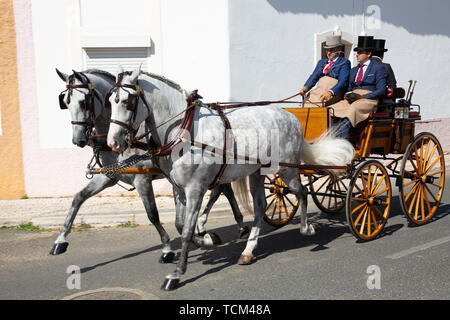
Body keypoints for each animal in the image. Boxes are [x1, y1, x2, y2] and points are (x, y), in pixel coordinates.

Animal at [52, 69, 250, 262]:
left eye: (84, 102)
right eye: (66, 102)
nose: (78, 139)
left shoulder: (142, 179)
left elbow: (152, 215)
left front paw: (167, 248)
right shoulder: (108, 177)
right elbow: (78, 198)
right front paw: (61, 240)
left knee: (220, 191)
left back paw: (226, 225)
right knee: (224, 190)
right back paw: (228, 225)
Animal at [105, 66, 356, 292]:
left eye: (127, 102)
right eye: (110, 101)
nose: (113, 143)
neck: (185, 132)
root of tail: (291, 117)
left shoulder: (196, 188)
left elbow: (186, 231)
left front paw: (177, 273)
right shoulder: (178, 188)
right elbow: (180, 225)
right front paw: (206, 239)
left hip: (286, 170)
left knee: (302, 193)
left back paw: (307, 229)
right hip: (257, 172)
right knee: (260, 205)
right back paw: (248, 250)